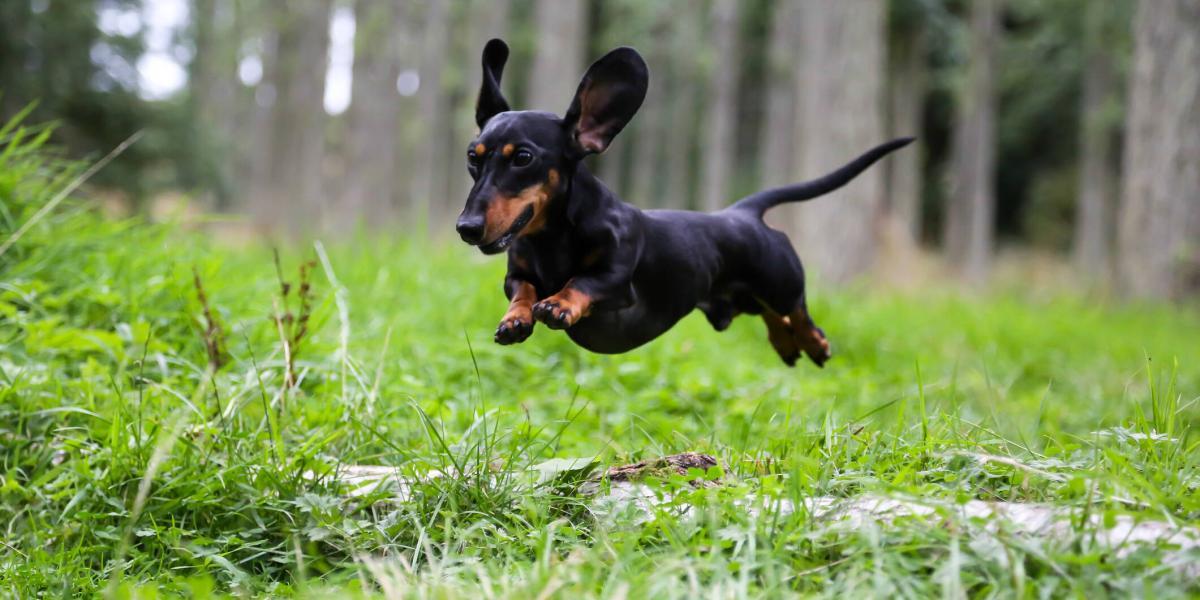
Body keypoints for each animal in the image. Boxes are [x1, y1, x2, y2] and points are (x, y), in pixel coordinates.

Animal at [453, 39, 912, 364]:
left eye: (523, 158)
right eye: (472, 157)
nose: (466, 228)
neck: (552, 238)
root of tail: (742, 212)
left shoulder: (617, 280)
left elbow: (582, 282)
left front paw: (559, 303)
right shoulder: (517, 274)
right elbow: (523, 289)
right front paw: (515, 318)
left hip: (779, 280)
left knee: (796, 309)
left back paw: (814, 343)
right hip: (745, 297)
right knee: (772, 315)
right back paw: (786, 344)